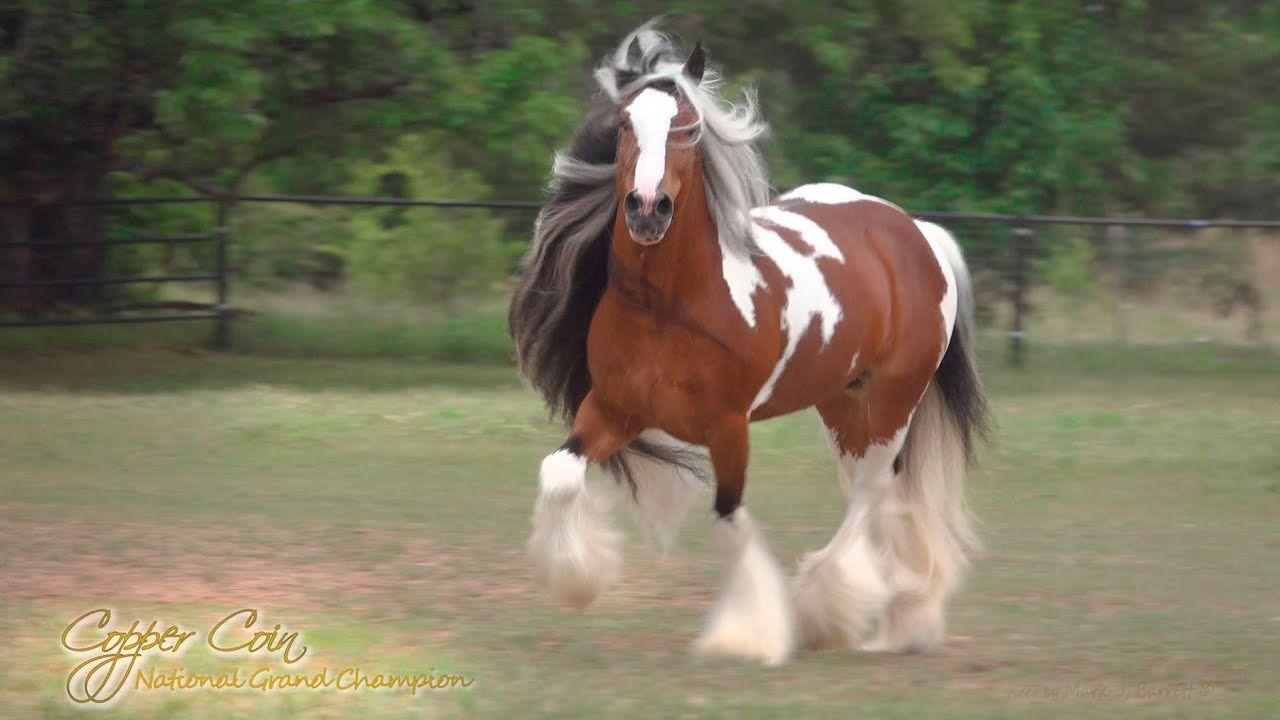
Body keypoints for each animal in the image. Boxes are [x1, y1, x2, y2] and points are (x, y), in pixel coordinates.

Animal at [509, 25, 988, 666]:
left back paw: (832, 608)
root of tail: (916, 233)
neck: (673, 309)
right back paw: (897, 614)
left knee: (872, 490)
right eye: (626, 124)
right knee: (869, 489)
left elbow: (728, 518)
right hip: (841, 403)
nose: (647, 209)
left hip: (894, 397)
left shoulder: (728, 427)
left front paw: (747, 635)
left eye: (688, 127)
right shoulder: (612, 410)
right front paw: (578, 579)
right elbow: (559, 474)